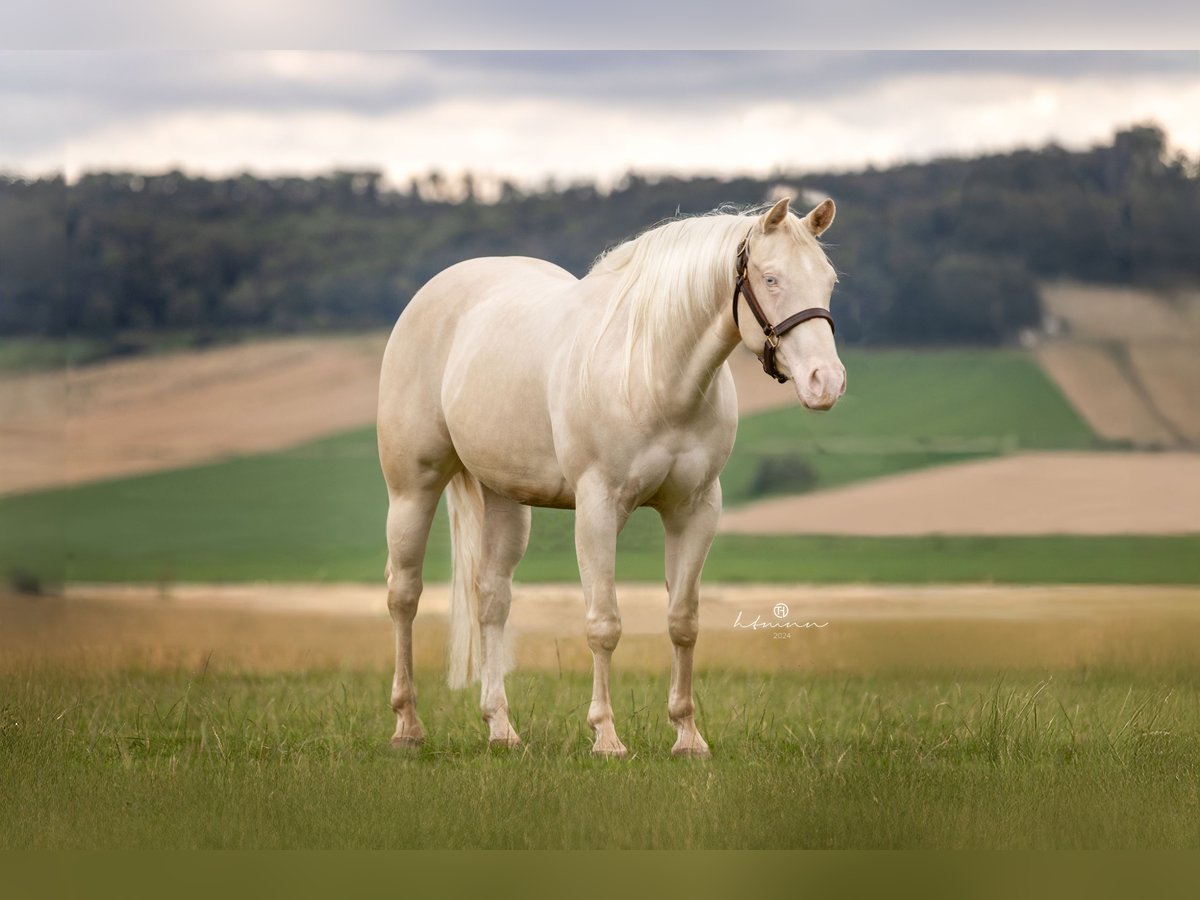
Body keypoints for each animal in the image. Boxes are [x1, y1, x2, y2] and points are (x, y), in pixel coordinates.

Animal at [374, 194, 844, 758]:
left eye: (828, 280)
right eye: (771, 279)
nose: (826, 382)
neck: (652, 371)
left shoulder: (696, 510)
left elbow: (683, 622)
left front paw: (688, 736)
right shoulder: (598, 508)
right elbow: (604, 624)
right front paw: (606, 736)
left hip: (504, 498)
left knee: (492, 598)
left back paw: (501, 727)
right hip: (412, 487)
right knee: (404, 596)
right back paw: (406, 725)